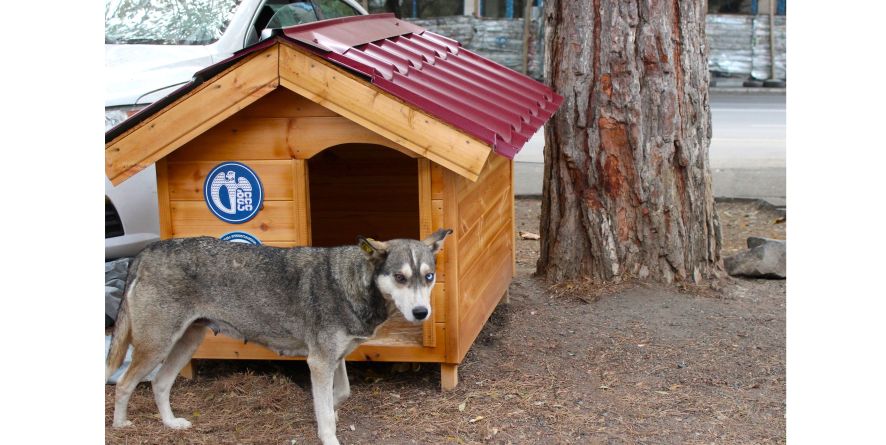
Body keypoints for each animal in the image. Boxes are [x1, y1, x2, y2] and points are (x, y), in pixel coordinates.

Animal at [106, 229, 450, 444]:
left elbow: (339, 395)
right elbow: (326, 412)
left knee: (159, 383)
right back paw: (120, 425)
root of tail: (148, 250)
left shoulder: (333, 359)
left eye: (428, 277)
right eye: (400, 277)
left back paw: (171, 424)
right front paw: (328, 433)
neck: (351, 282)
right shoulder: (319, 362)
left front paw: (328, 414)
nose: (422, 312)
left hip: (185, 343)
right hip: (156, 347)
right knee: (125, 383)